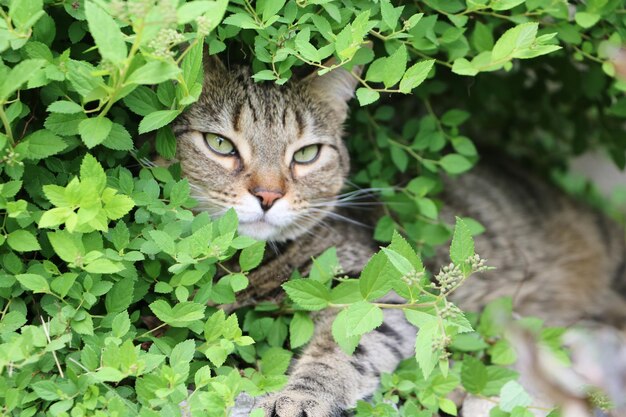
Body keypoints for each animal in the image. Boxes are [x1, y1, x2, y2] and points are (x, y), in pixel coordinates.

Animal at [172, 56, 624, 416]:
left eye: (306, 155)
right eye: (219, 144)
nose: (268, 195)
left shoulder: (378, 295)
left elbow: (342, 349)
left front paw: (299, 398)